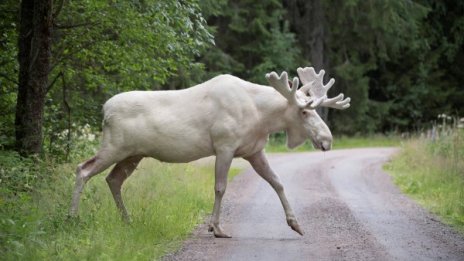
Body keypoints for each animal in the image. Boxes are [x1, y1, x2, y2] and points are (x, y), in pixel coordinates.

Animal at [70, 66, 350, 238]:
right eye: (304, 111)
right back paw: (72, 217)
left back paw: (127, 220)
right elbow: (220, 187)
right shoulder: (224, 145)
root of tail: (104, 110)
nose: (327, 139)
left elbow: (278, 182)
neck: (262, 117)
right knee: (83, 169)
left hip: (133, 154)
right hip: (114, 147)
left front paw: (295, 223)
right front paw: (216, 228)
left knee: (113, 179)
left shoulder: (254, 151)